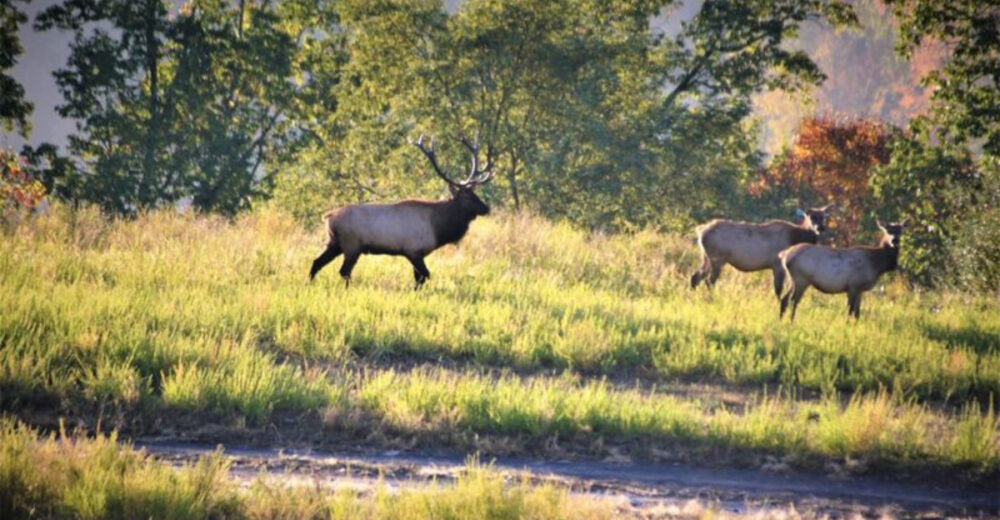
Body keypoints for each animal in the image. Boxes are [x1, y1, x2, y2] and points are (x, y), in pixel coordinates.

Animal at [309, 134, 494, 289]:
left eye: (475, 193)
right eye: (467, 197)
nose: (487, 208)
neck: (438, 228)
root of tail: (328, 217)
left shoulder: (417, 253)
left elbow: (420, 278)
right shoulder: (413, 251)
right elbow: (424, 276)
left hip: (335, 243)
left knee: (317, 262)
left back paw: (309, 285)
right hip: (352, 245)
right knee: (344, 271)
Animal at [690, 204, 833, 299]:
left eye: (824, 217)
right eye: (811, 217)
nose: (821, 228)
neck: (796, 238)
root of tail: (700, 231)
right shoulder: (777, 264)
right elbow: (778, 289)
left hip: (706, 257)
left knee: (695, 277)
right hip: (717, 258)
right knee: (709, 280)